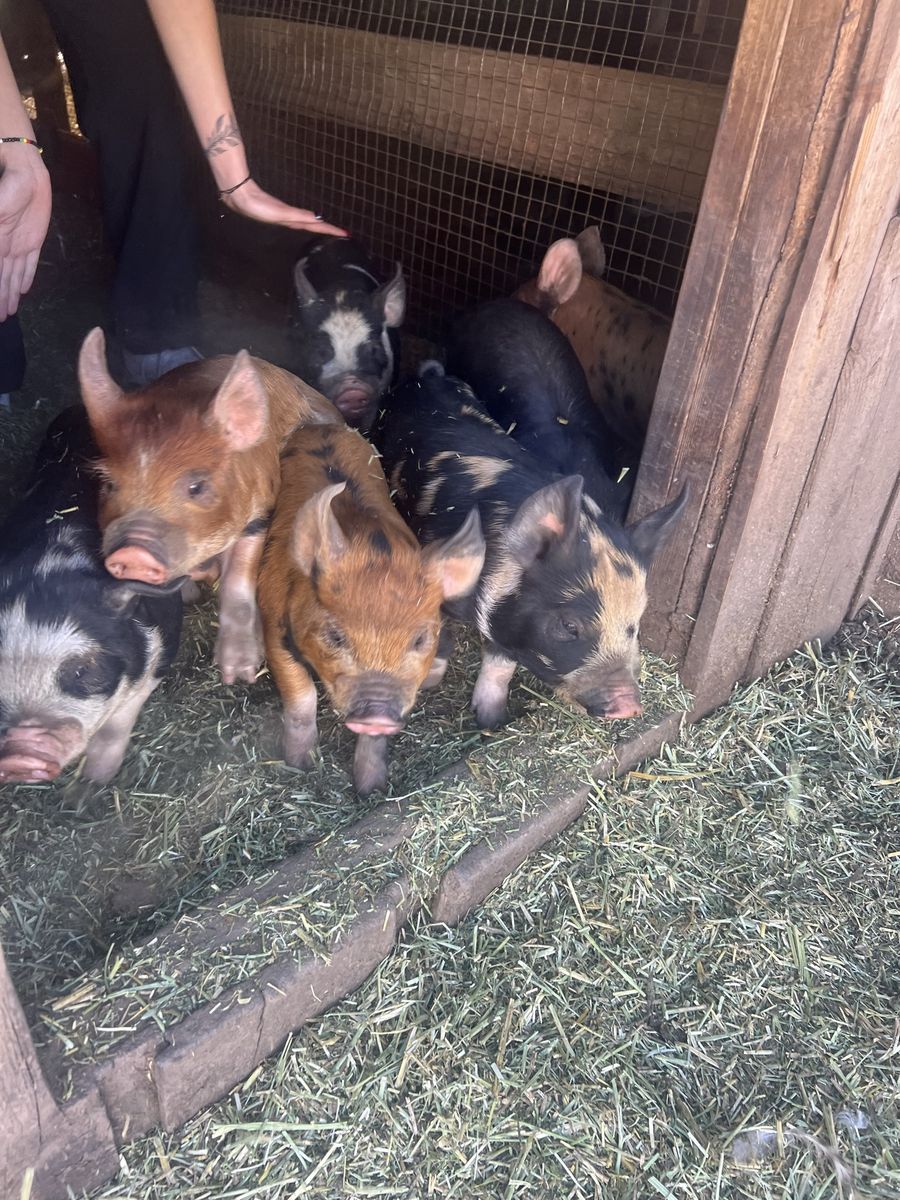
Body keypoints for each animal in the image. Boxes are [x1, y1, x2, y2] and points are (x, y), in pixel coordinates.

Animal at [76, 327, 339, 685]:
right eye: (109, 484)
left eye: (197, 486)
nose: (131, 553)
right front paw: (188, 596)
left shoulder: (259, 513)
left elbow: (238, 580)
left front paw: (239, 673)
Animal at [258, 421, 485, 796]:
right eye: (335, 636)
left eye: (420, 640)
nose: (376, 715)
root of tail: (321, 427)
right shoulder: (273, 625)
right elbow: (301, 696)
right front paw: (301, 764)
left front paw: (370, 788)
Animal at [373, 364, 687, 728]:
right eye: (569, 625)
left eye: (633, 625)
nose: (629, 706)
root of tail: (428, 376)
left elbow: (501, 663)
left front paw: (491, 720)